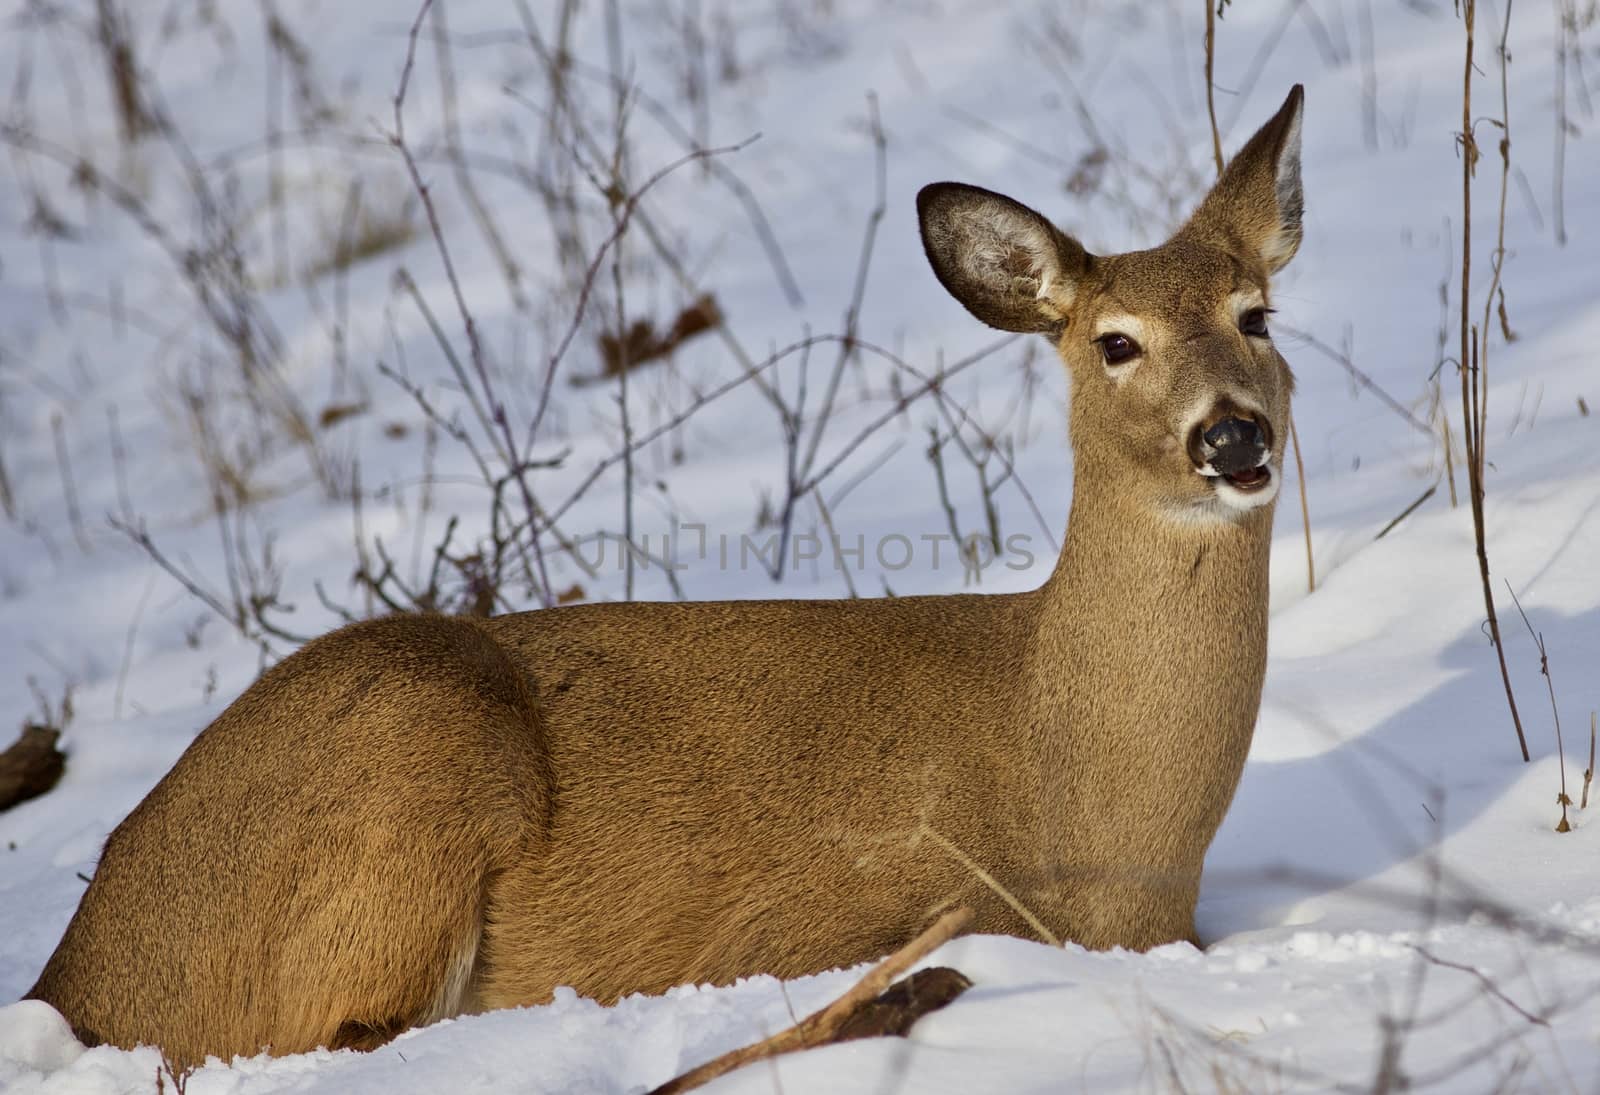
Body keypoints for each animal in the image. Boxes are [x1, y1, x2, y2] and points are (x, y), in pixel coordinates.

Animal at [21, 87, 1299, 1069]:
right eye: (1114, 342)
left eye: (1256, 315)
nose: (1231, 436)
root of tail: (75, 974)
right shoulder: (868, 904)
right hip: (402, 762)